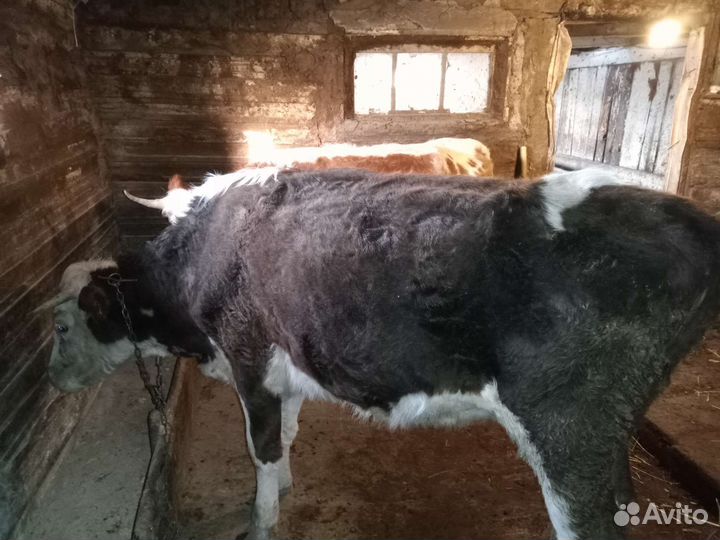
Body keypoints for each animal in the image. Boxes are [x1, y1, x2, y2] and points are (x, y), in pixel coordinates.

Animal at [39, 167, 720, 540]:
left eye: (61, 327)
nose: (52, 382)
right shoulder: (286, 368)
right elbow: (287, 434)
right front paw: (287, 486)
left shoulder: (248, 357)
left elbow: (261, 448)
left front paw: (262, 518)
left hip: (570, 431)